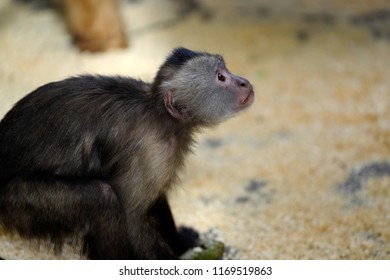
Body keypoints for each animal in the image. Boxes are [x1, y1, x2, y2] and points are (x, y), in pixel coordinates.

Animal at [0, 47, 253, 260]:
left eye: (226, 69)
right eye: (221, 77)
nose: (243, 82)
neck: (162, 116)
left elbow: (155, 201)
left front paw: (183, 244)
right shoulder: (152, 148)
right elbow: (132, 215)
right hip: (16, 202)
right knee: (102, 197)